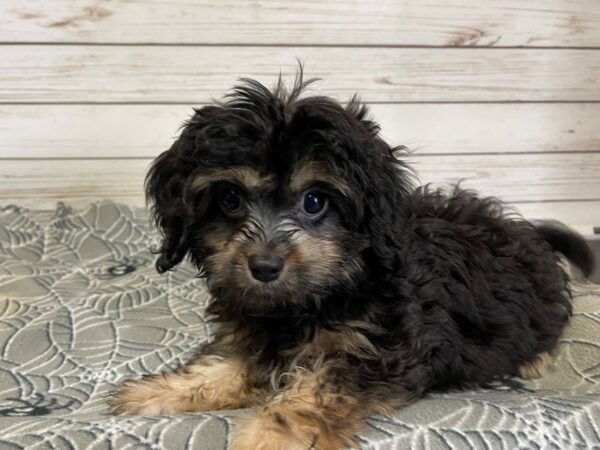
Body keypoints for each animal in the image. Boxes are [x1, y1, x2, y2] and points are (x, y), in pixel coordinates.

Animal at [110, 72, 592, 448]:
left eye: (314, 201)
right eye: (229, 198)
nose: (264, 267)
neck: (314, 298)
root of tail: (527, 232)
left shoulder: (375, 350)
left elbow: (313, 392)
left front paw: (271, 434)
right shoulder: (253, 336)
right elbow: (225, 367)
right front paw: (162, 391)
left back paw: (532, 359)